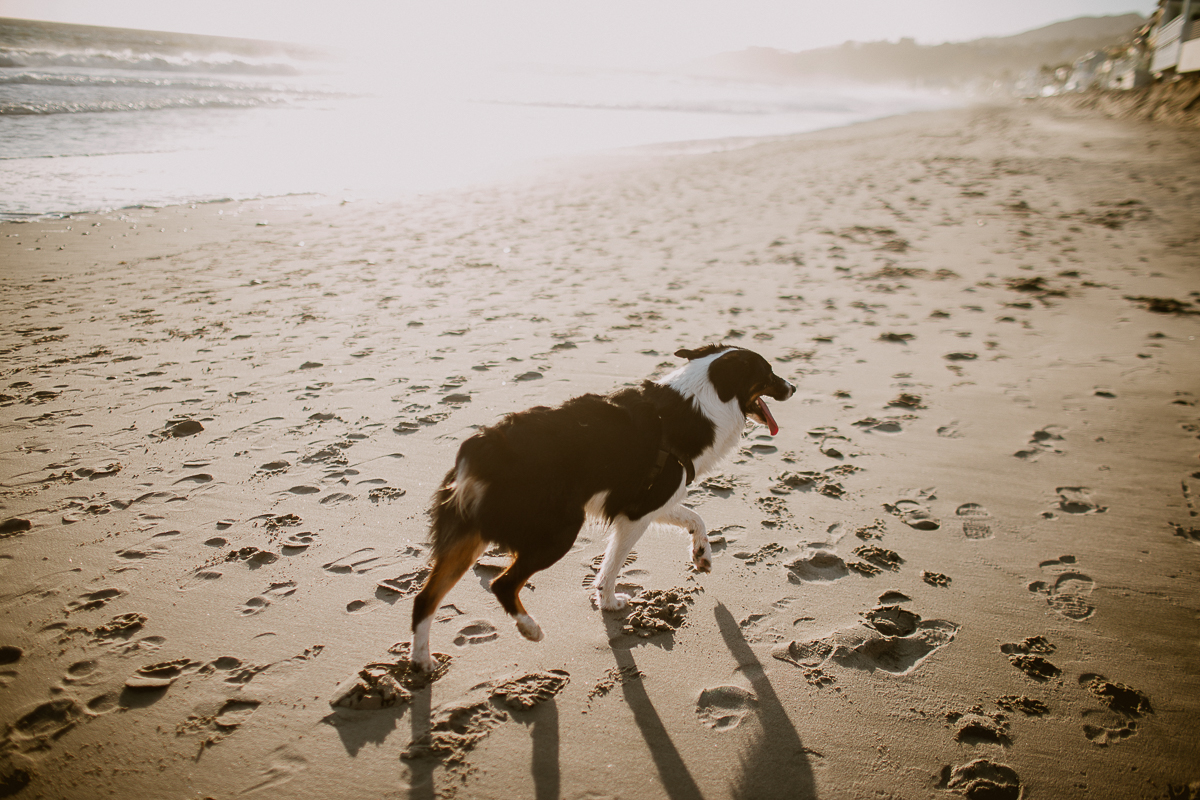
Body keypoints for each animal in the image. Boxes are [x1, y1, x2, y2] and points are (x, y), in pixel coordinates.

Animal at [408, 345, 792, 671]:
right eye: (769, 372)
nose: (793, 387)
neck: (707, 396)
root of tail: (483, 448)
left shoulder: (647, 502)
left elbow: (696, 517)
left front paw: (702, 556)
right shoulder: (637, 513)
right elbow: (612, 564)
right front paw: (608, 602)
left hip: (469, 537)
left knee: (424, 598)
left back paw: (422, 661)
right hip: (560, 528)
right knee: (502, 584)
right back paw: (530, 628)